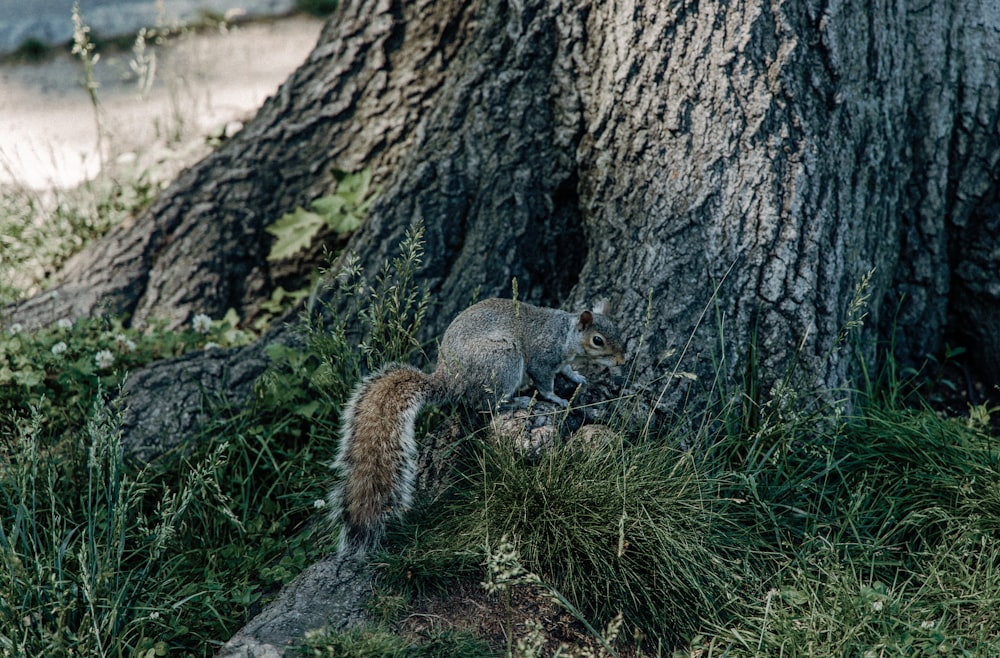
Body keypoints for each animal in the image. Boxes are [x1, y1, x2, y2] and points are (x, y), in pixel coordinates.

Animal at [332, 298, 620, 552]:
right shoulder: (543, 357)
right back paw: (516, 400)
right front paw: (556, 397)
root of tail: (450, 380)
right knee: (488, 404)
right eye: (598, 340)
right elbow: (544, 381)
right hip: (502, 361)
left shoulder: (562, 360)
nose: (622, 361)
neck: (565, 335)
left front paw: (577, 376)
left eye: (617, 331)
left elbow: (567, 370)